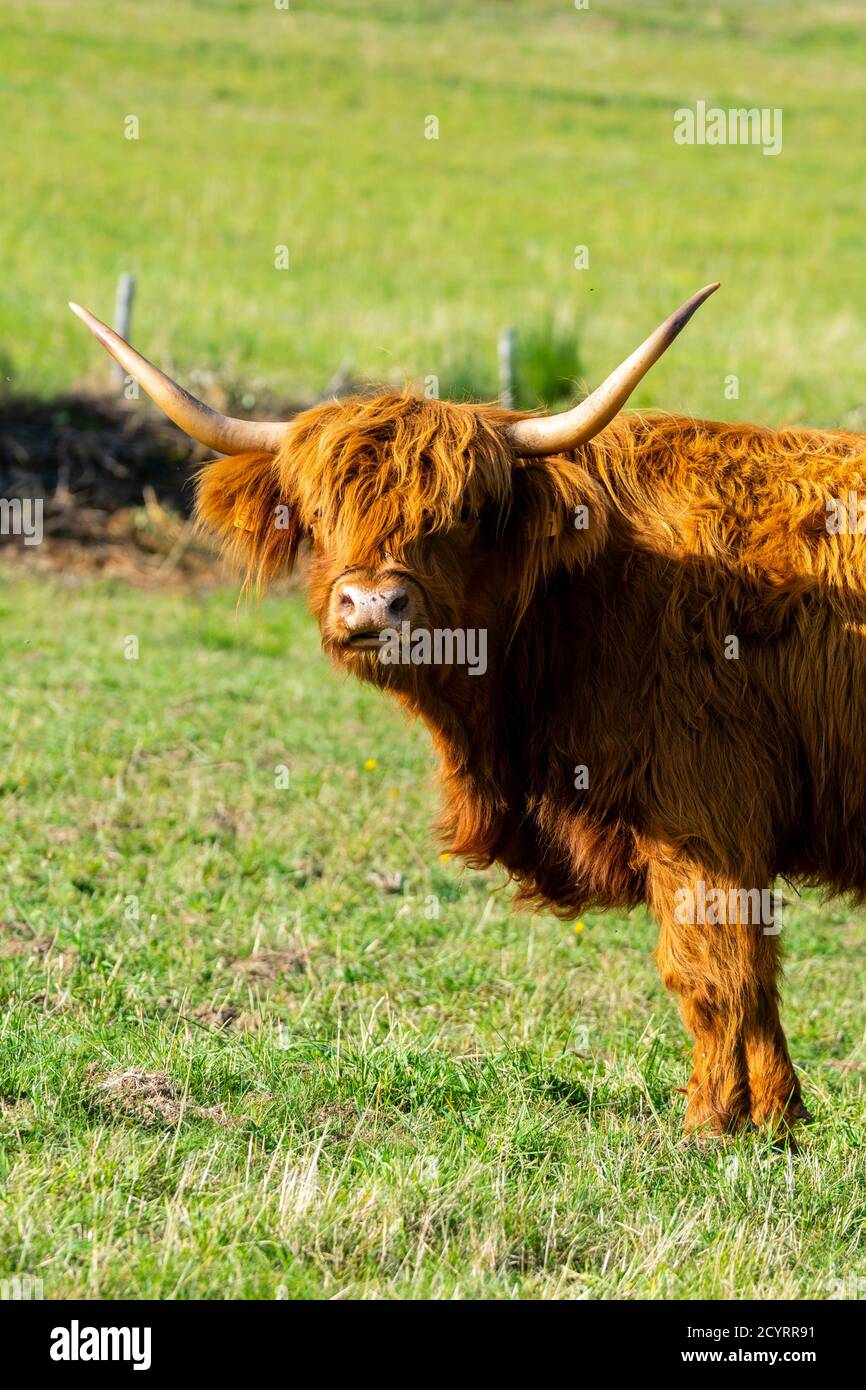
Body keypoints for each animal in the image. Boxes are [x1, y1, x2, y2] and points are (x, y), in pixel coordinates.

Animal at [71, 285, 861, 1137]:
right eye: (318, 509)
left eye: (460, 516)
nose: (372, 605)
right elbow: (749, 979)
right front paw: (778, 1120)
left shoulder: (706, 816)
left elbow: (716, 972)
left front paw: (716, 1124)